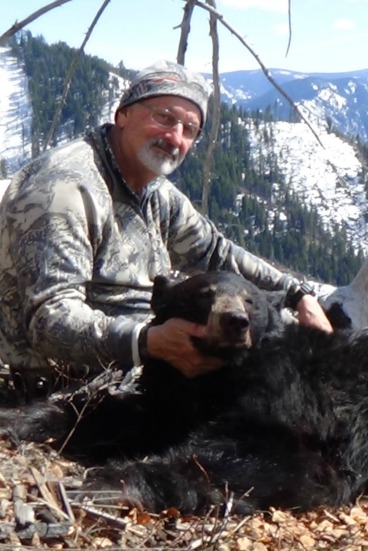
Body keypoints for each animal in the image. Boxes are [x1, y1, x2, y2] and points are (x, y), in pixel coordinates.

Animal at [2, 272, 368, 516]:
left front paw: (104, 482)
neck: (214, 377)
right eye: (204, 293)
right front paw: (19, 418)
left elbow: (264, 455)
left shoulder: (290, 396)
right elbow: (120, 415)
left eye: (250, 301)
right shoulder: (171, 400)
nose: (234, 321)